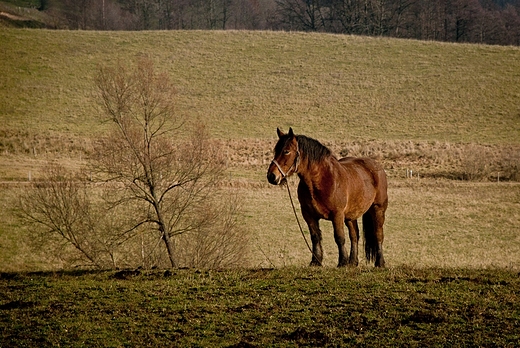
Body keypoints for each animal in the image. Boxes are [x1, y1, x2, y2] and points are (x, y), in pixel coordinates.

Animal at [268, 128, 386, 266]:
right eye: (275, 150)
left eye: (286, 151)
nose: (271, 176)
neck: (321, 180)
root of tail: (376, 166)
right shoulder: (308, 215)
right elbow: (315, 237)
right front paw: (316, 261)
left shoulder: (337, 214)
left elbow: (339, 238)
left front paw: (342, 262)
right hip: (351, 215)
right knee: (354, 235)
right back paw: (353, 262)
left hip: (378, 209)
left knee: (378, 234)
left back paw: (380, 262)